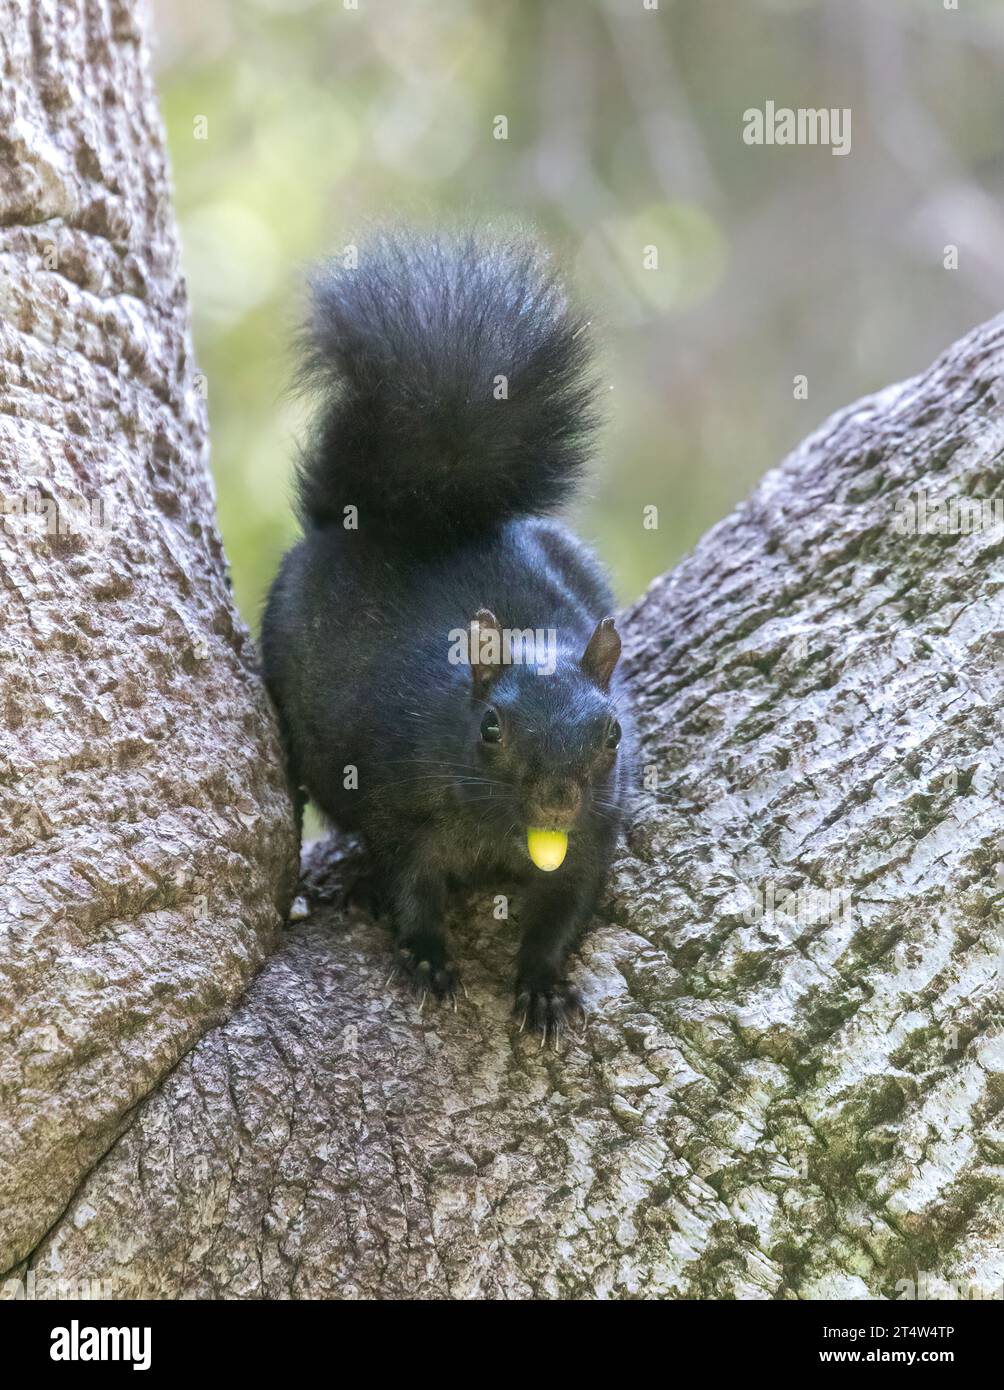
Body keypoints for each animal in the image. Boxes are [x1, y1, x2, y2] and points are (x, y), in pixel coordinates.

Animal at [260, 230, 634, 1034]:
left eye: (614, 733)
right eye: (491, 728)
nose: (558, 802)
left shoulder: (595, 833)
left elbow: (569, 907)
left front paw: (542, 982)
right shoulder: (399, 801)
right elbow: (410, 881)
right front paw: (427, 954)